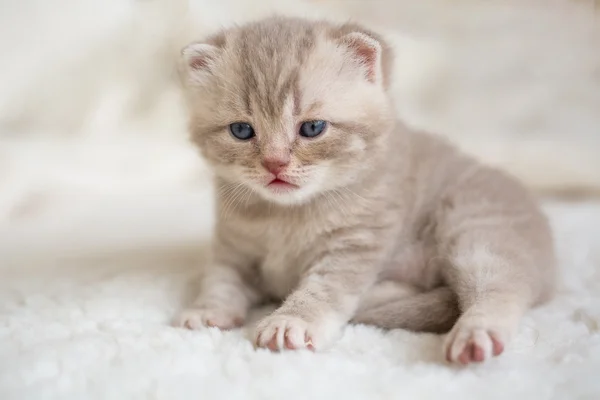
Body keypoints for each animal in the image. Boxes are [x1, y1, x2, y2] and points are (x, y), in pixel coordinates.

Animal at [175, 17, 556, 364]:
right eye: (241, 131)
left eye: (312, 128)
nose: (275, 163)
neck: (285, 215)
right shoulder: (233, 247)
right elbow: (221, 279)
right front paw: (208, 309)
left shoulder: (354, 244)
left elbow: (322, 289)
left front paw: (291, 320)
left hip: (475, 230)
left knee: (499, 288)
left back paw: (476, 333)